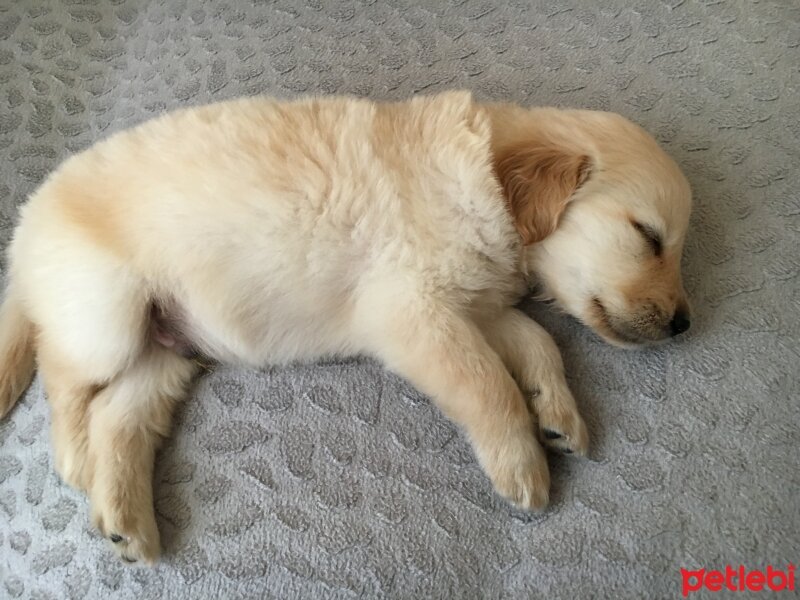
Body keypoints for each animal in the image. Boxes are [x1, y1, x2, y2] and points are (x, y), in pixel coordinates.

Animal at [0, 89, 688, 564]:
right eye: (648, 237)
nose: (685, 323)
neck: (482, 182)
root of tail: (28, 222)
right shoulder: (416, 313)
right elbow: (488, 384)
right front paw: (521, 467)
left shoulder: (477, 307)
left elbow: (538, 342)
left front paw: (558, 412)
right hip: (105, 314)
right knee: (63, 377)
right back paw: (76, 458)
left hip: (165, 348)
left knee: (121, 416)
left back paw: (126, 521)